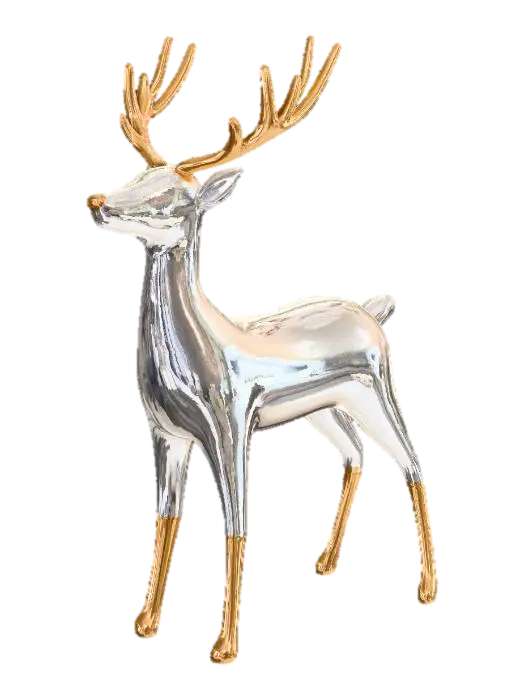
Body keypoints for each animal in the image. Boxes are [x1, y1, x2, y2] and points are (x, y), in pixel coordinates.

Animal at [85, 34, 439, 666]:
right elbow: (163, 523)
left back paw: (426, 592)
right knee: (356, 459)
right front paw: (146, 624)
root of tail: (375, 313)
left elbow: (236, 524)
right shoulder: (167, 435)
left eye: (171, 197)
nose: (97, 200)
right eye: (137, 175)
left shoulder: (229, 426)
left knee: (414, 464)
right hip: (328, 411)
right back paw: (324, 565)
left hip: (378, 392)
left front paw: (224, 647)